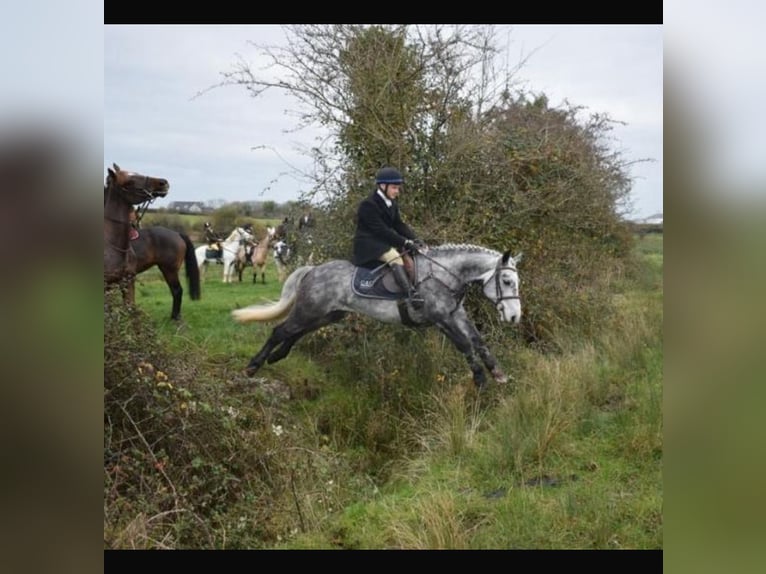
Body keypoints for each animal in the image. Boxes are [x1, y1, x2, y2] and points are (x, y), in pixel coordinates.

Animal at [231, 245, 524, 390]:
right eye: (507, 281)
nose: (514, 317)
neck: (444, 275)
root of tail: (313, 270)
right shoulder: (441, 318)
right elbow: (464, 344)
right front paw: (480, 380)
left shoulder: (456, 314)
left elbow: (477, 340)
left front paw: (498, 373)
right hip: (310, 310)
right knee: (281, 330)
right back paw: (253, 366)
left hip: (326, 315)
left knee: (296, 332)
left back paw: (276, 357)